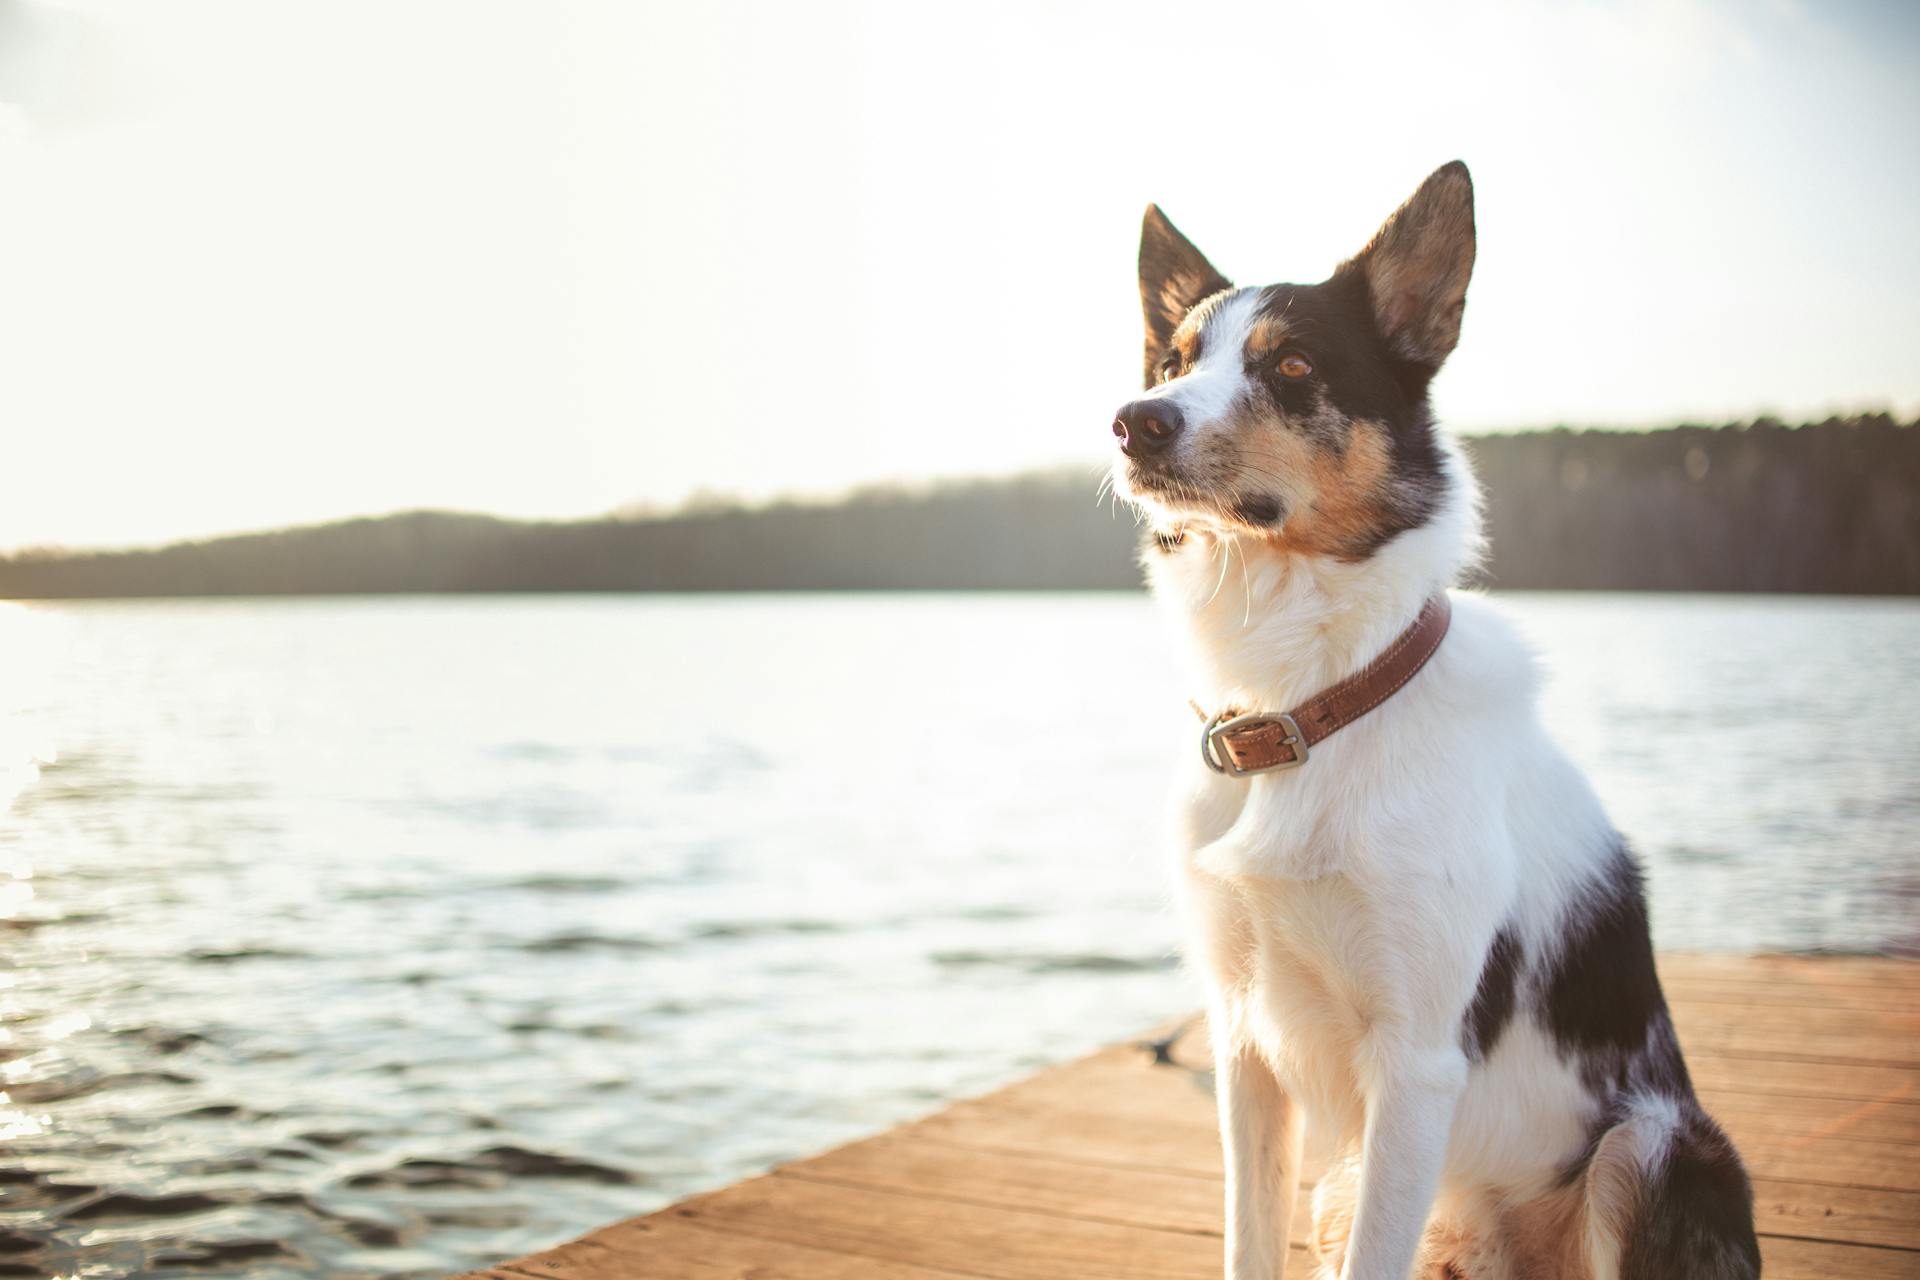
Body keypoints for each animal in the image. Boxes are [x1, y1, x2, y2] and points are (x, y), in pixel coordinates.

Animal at [1113, 163, 1758, 1280]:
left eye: (1291, 363)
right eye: (1173, 361)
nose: (1134, 419)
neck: (1309, 707)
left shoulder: (1414, 1064)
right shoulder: (1244, 1048)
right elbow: (1249, 1240)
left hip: (1652, 1143)